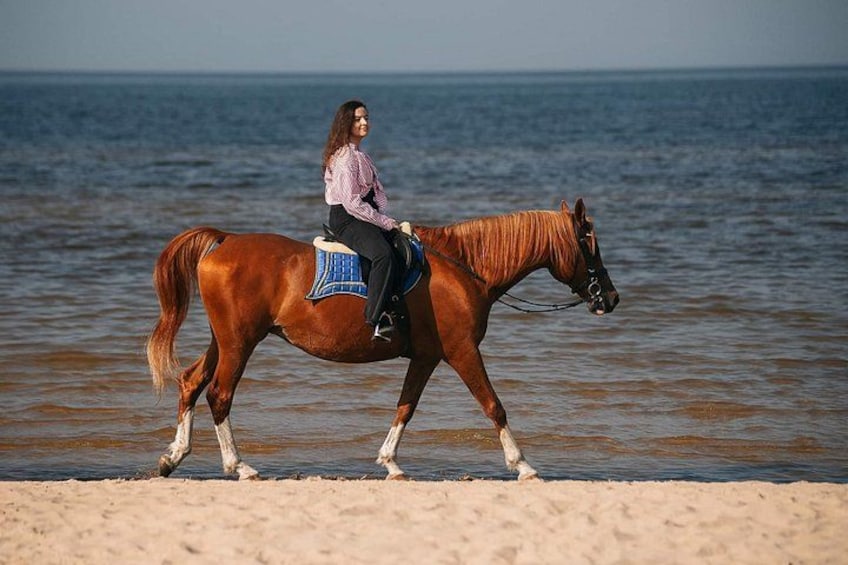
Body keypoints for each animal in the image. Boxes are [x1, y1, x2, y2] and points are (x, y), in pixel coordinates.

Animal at [146, 198, 619, 481]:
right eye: (589, 242)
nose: (610, 298)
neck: (464, 268)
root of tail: (224, 241)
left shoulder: (426, 358)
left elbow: (405, 407)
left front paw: (390, 462)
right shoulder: (462, 352)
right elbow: (493, 406)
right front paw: (522, 465)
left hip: (225, 339)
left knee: (191, 381)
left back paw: (174, 456)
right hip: (240, 342)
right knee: (219, 393)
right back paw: (238, 465)